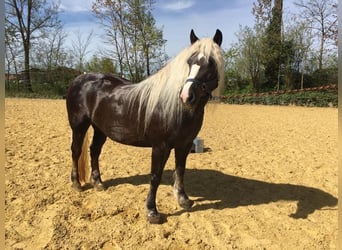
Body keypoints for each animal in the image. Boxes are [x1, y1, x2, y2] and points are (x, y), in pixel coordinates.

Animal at [65, 28, 224, 223]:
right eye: (189, 62)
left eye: (211, 64)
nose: (186, 96)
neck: (175, 107)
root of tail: (80, 79)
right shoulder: (160, 146)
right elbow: (155, 177)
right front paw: (152, 211)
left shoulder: (184, 145)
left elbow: (180, 170)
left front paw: (183, 200)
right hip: (79, 126)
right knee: (76, 151)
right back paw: (76, 184)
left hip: (100, 129)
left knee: (94, 151)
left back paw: (98, 183)